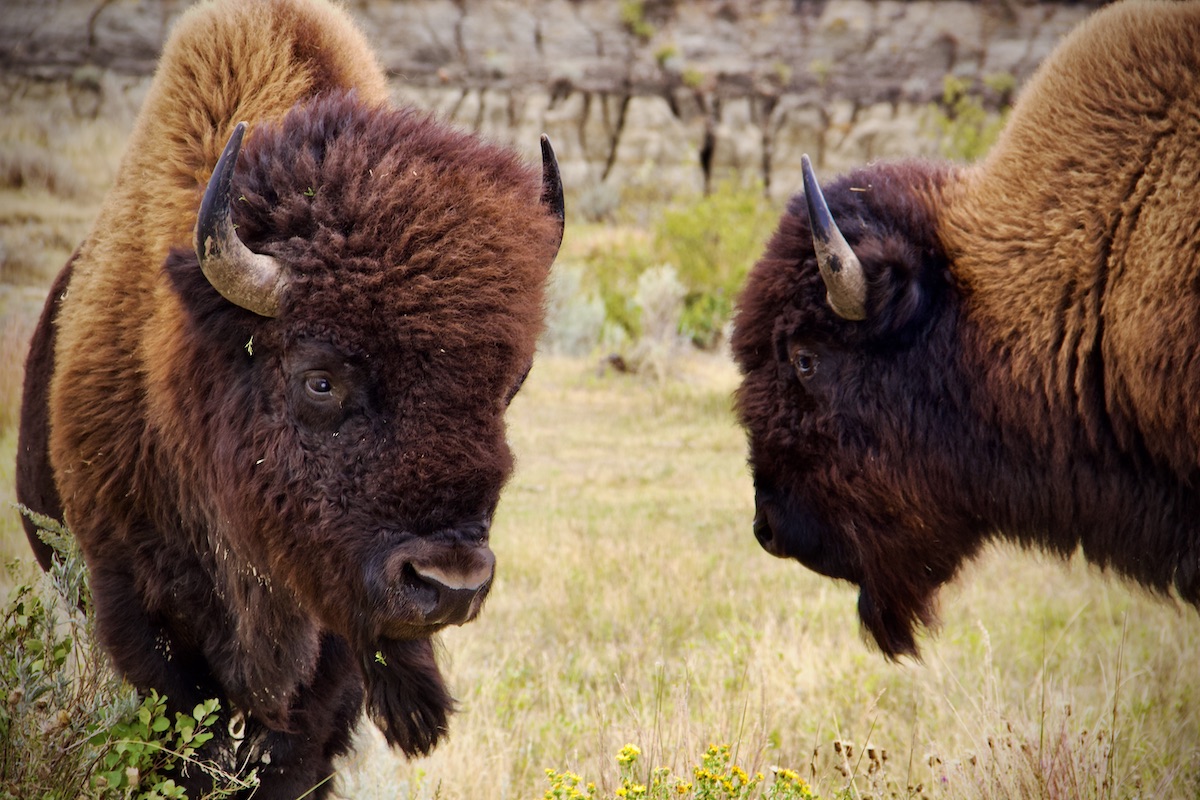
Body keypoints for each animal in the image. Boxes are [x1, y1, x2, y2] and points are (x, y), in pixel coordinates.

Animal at [14, 0, 564, 796]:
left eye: (508, 385)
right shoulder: (136, 605)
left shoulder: (335, 640)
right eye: (321, 379)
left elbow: (299, 749)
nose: (451, 583)